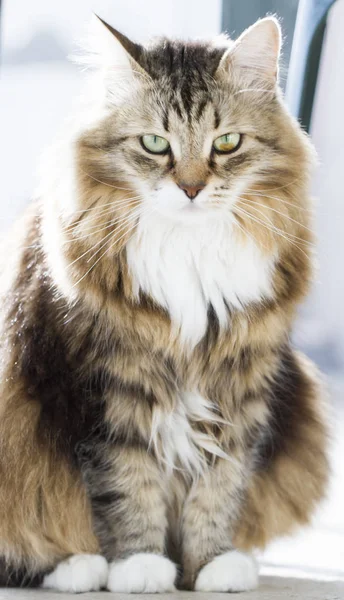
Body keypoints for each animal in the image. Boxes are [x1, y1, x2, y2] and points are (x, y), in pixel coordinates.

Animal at [0, 15, 330, 596]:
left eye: (226, 142)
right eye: (156, 143)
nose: (192, 188)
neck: (189, 249)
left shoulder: (242, 384)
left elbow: (221, 484)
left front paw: (209, 565)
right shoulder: (109, 387)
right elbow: (128, 486)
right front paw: (141, 566)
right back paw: (77, 567)